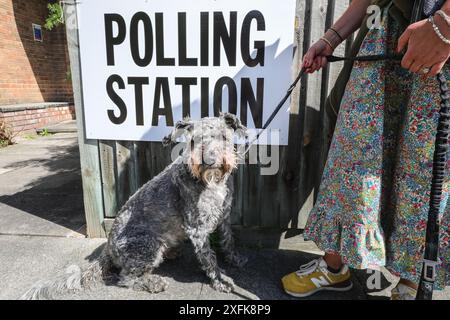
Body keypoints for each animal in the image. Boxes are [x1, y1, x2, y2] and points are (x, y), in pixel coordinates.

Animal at [21, 113, 248, 300]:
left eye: (223, 136)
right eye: (194, 140)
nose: (209, 160)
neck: (211, 182)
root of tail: (108, 249)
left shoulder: (224, 217)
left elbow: (228, 240)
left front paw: (235, 259)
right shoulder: (197, 229)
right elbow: (209, 258)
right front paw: (220, 280)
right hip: (148, 245)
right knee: (126, 278)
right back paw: (154, 282)